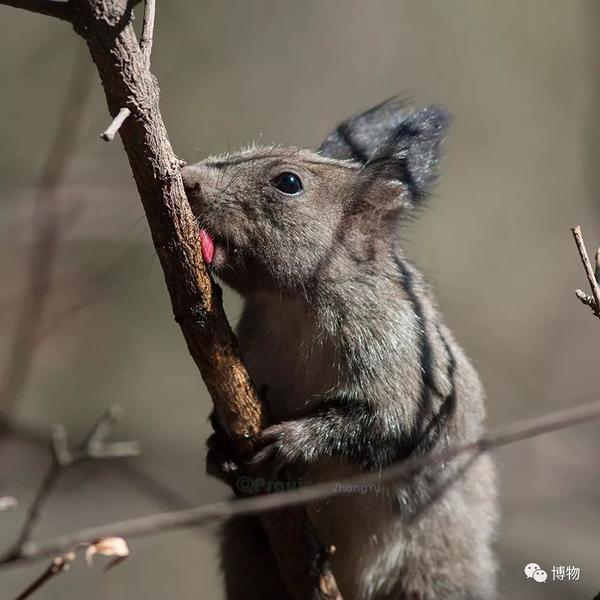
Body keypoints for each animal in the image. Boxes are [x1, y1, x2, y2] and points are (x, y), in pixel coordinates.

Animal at [180, 101, 500, 596]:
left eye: (289, 182)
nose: (188, 179)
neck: (292, 308)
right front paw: (219, 446)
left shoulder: (402, 361)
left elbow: (381, 425)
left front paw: (295, 441)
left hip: (434, 574)